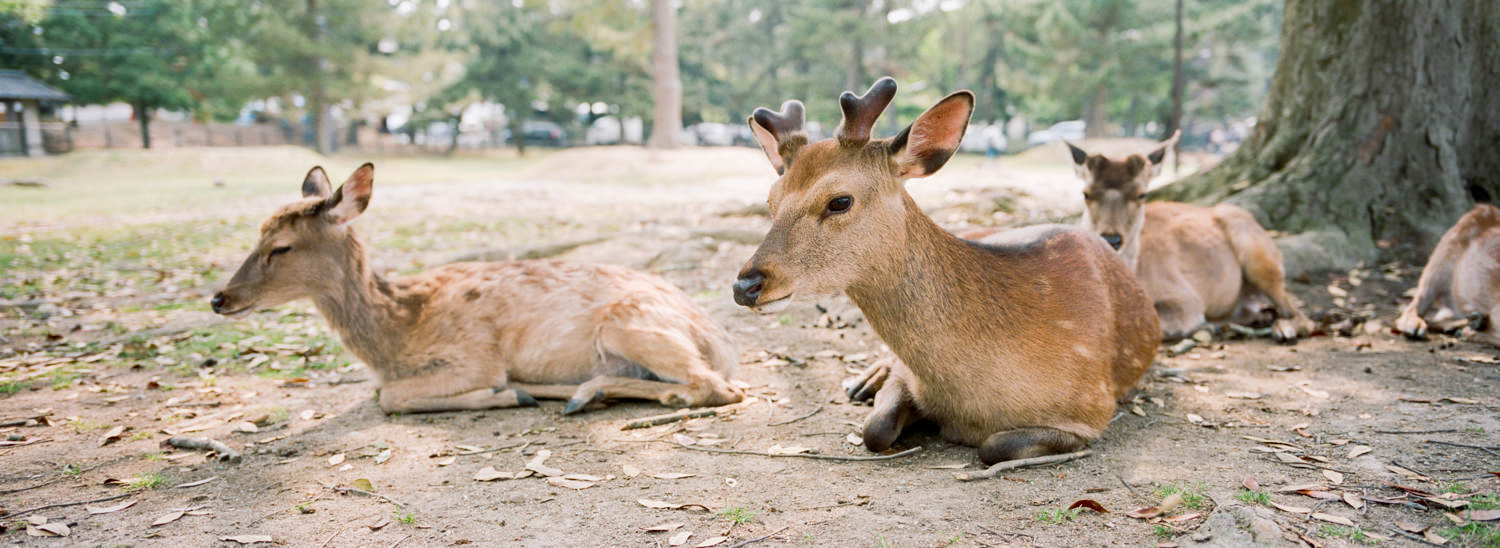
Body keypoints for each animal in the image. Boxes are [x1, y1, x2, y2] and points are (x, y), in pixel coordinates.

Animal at [208, 163, 747, 414]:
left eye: (281, 247)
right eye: (257, 233)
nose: (219, 297)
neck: (396, 336)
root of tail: (723, 342)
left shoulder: (471, 356)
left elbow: (390, 397)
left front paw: (500, 395)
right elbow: (383, 393)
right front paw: (513, 392)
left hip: (628, 325)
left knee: (717, 388)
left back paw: (578, 394)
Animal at [729, 75, 1158, 462]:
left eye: (839, 201)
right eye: (771, 201)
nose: (745, 285)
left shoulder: (1091, 408)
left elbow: (993, 447)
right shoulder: (908, 378)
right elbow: (875, 429)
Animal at [1056, 135, 1314, 342]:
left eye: (1142, 194)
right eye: (1086, 193)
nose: (1112, 239)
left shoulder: (1185, 297)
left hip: (1261, 258)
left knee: (1298, 310)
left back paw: (1285, 329)